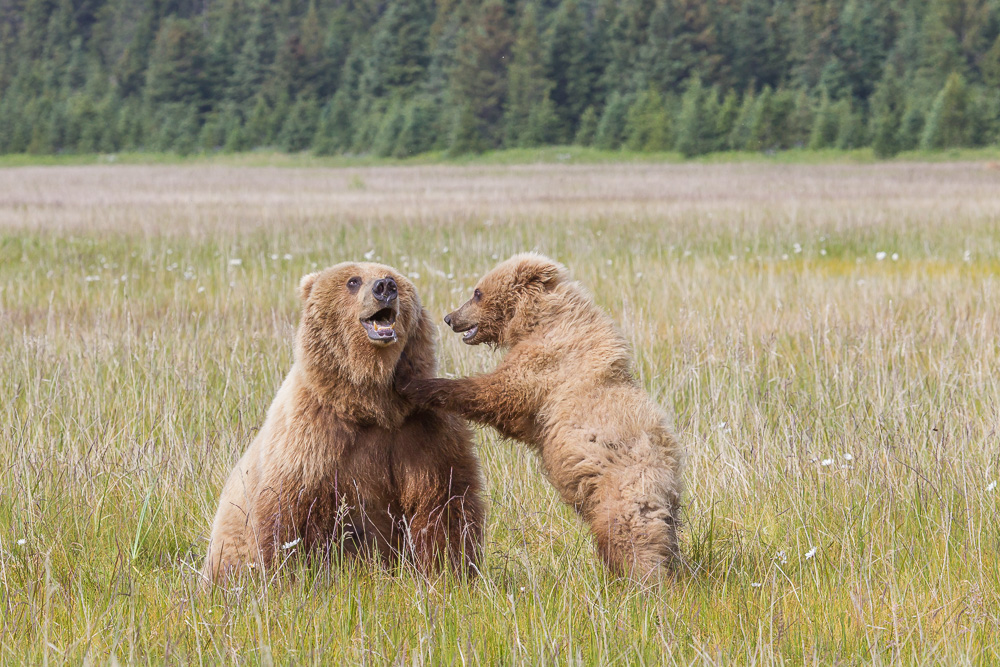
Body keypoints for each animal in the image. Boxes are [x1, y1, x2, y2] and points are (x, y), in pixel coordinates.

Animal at [202, 260, 484, 584]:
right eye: (353, 281)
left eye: (393, 278)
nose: (385, 287)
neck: (370, 405)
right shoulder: (312, 438)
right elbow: (293, 516)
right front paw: (297, 574)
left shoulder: (423, 431)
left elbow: (444, 504)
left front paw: (450, 570)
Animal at [396, 253, 680, 576]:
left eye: (477, 292)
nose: (450, 317)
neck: (537, 318)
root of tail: (672, 474)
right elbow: (515, 418)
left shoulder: (548, 360)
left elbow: (499, 393)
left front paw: (413, 383)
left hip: (624, 490)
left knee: (631, 537)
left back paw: (646, 581)